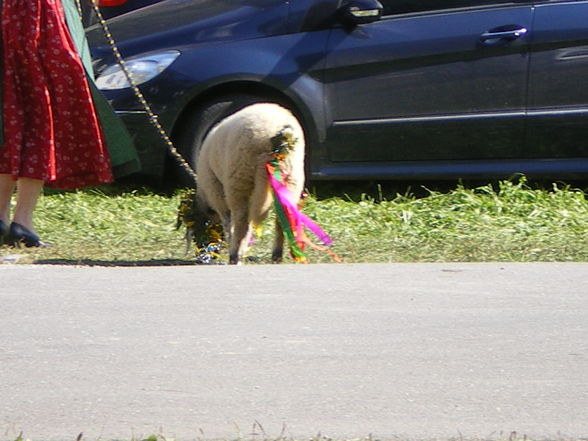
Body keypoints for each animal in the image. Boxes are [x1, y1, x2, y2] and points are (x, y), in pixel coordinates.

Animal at [196, 101, 308, 262]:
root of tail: (281, 135)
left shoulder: (217, 190)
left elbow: (228, 221)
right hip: (291, 177)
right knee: (283, 218)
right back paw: (278, 255)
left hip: (240, 178)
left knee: (242, 220)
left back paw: (234, 255)